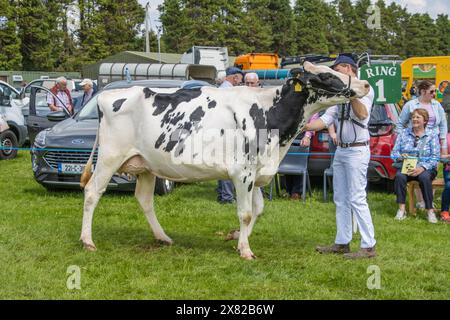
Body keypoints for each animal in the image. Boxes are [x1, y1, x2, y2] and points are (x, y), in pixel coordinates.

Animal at [80, 62, 370, 260]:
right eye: (326, 75)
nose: (366, 85)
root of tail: (105, 96)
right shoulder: (242, 172)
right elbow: (245, 212)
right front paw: (245, 250)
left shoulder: (257, 172)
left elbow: (258, 210)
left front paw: (237, 238)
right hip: (110, 156)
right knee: (93, 191)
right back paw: (87, 241)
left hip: (146, 164)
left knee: (144, 200)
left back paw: (162, 237)